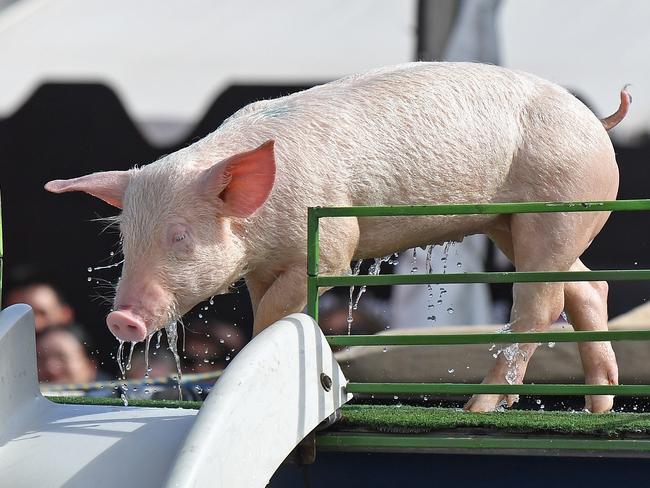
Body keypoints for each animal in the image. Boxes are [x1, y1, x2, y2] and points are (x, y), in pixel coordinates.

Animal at [45, 61, 628, 412]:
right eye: (125, 239)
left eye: (180, 235)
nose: (120, 318)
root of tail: (596, 122)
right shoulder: (258, 264)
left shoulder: (330, 243)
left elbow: (277, 312)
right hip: (513, 223)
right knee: (586, 286)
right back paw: (599, 405)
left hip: (557, 205)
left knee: (539, 303)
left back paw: (478, 408)